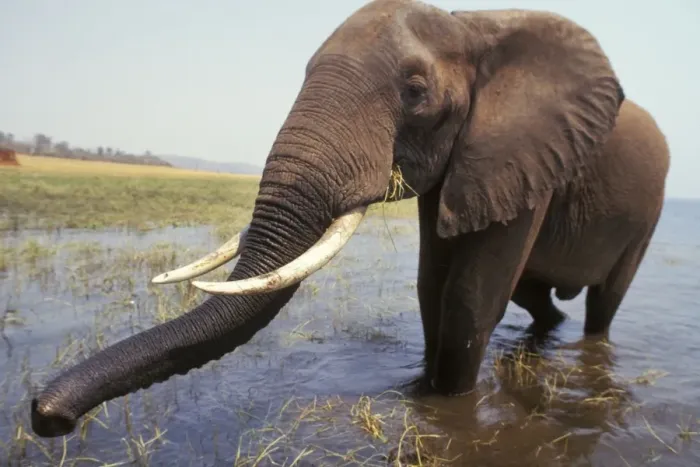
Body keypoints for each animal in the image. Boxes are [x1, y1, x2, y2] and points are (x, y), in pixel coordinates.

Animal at [30, 0, 670, 438]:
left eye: (416, 90)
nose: (45, 416)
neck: (472, 25)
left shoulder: (522, 152)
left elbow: (469, 296)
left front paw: (445, 409)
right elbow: (431, 284)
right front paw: (420, 393)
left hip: (650, 210)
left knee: (603, 301)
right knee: (535, 294)